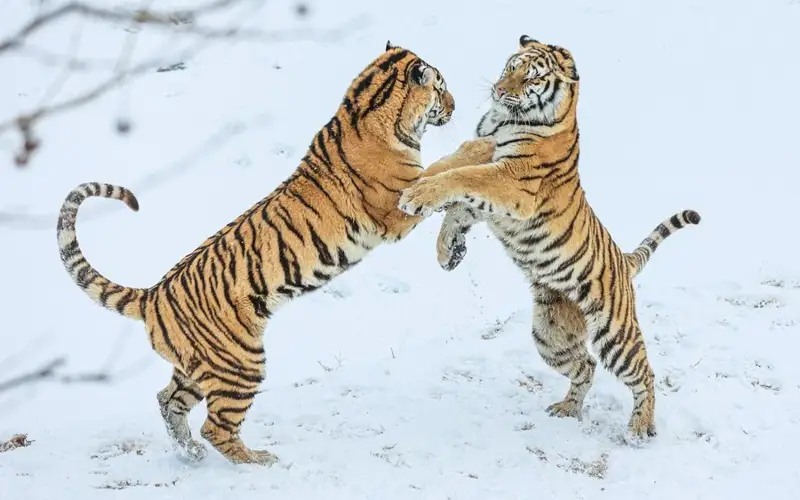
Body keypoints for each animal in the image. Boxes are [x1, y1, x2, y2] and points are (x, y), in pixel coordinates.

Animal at [56, 42, 490, 464]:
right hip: (240, 364)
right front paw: (480, 153)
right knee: (216, 427)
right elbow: (443, 171)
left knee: (168, 401)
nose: (454, 105)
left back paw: (189, 452)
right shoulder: (396, 209)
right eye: (440, 87)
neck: (366, 107)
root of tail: (152, 295)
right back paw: (257, 459)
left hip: (195, 368)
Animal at [398, 35, 700, 440]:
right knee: (586, 366)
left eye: (531, 78)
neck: (504, 120)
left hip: (615, 333)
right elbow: (452, 181)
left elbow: (460, 179)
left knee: (644, 374)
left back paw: (639, 428)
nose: (498, 90)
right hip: (551, 335)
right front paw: (448, 248)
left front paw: (417, 197)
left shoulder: (510, 181)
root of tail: (624, 260)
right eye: (511, 67)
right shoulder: (483, 163)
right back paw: (567, 409)